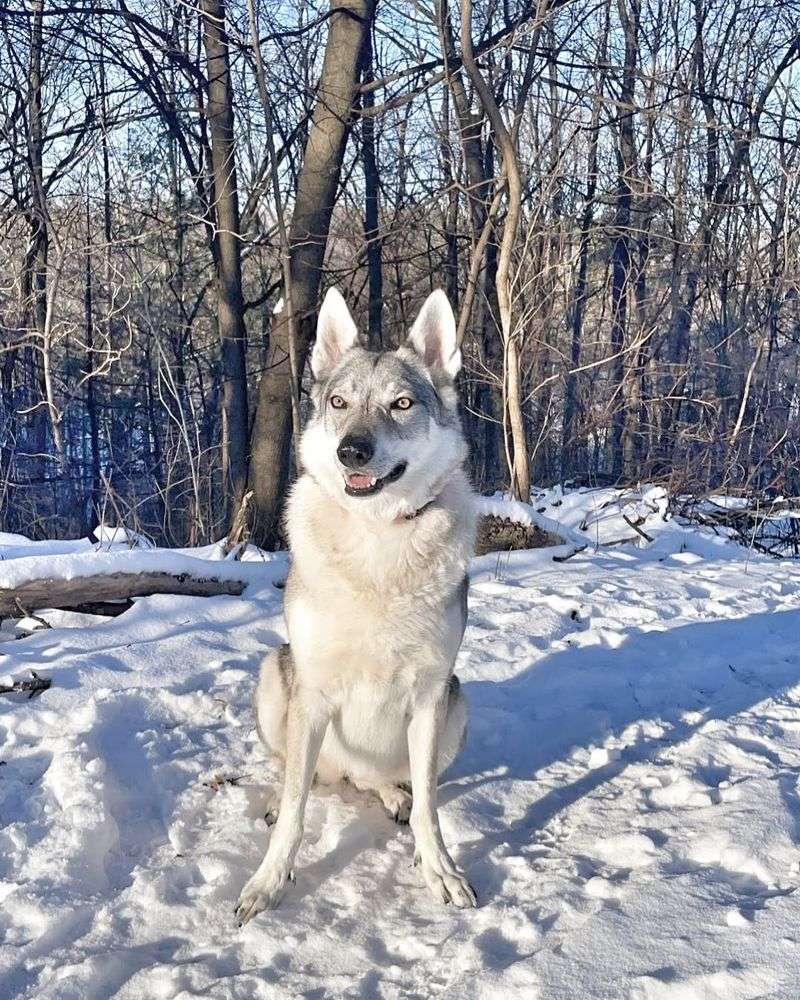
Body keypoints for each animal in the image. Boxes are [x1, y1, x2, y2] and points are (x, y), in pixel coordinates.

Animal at [234, 288, 478, 920]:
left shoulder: (430, 694)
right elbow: (295, 813)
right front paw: (268, 881)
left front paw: (440, 871)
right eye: (339, 403)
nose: (352, 451)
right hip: (276, 674)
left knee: (382, 781)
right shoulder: (313, 691)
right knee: (299, 772)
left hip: (458, 703)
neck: (377, 540)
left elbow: (430, 810)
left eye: (401, 404)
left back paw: (390, 793)